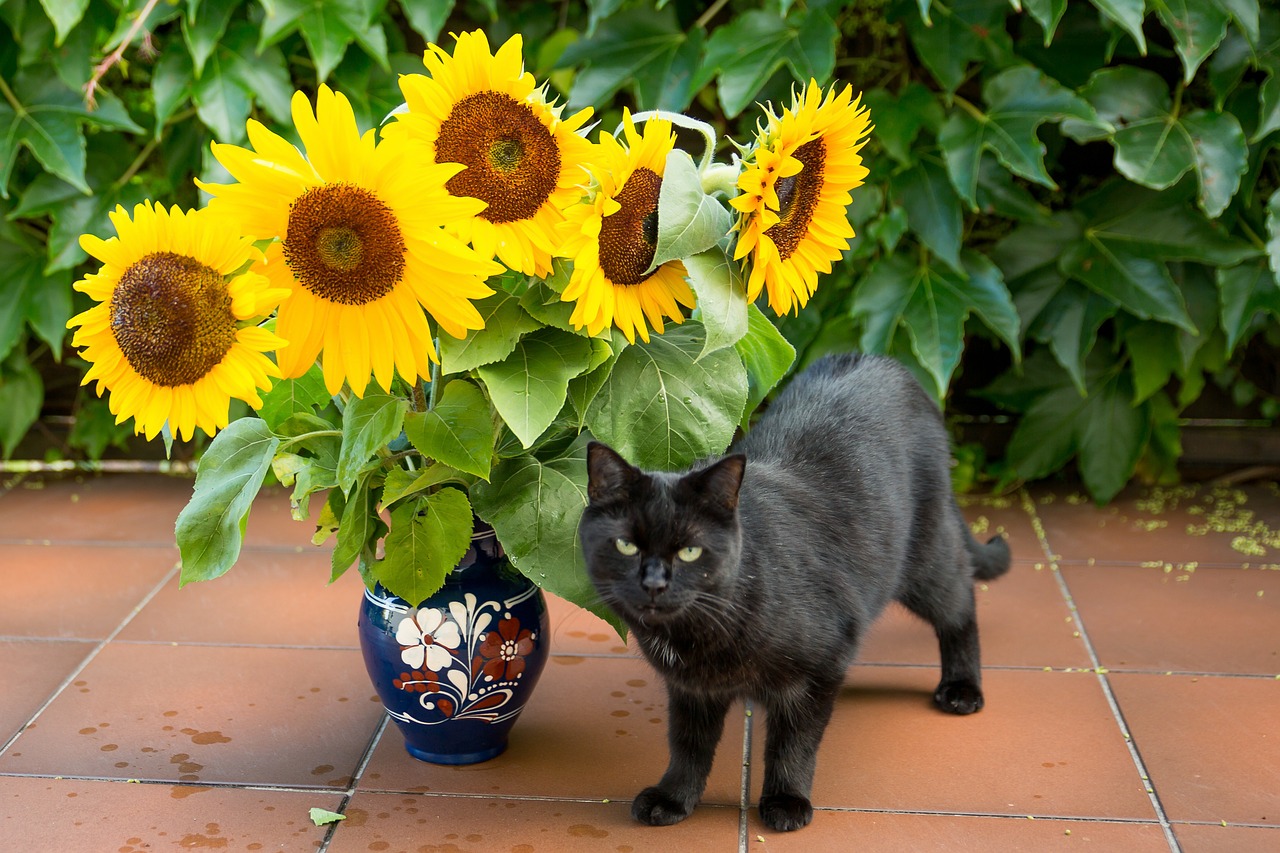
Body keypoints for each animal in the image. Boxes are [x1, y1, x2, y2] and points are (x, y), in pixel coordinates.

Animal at [578, 350, 1008, 829]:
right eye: (626, 545)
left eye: (690, 550)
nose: (653, 583)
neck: (698, 634)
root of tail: (884, 363)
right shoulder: (691, 690)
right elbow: (688, 744)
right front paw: (673, 798)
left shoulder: (816, 672)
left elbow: (793, 743)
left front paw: (786, 801)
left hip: (925, 557)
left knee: (960, 601)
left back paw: (962, 688)